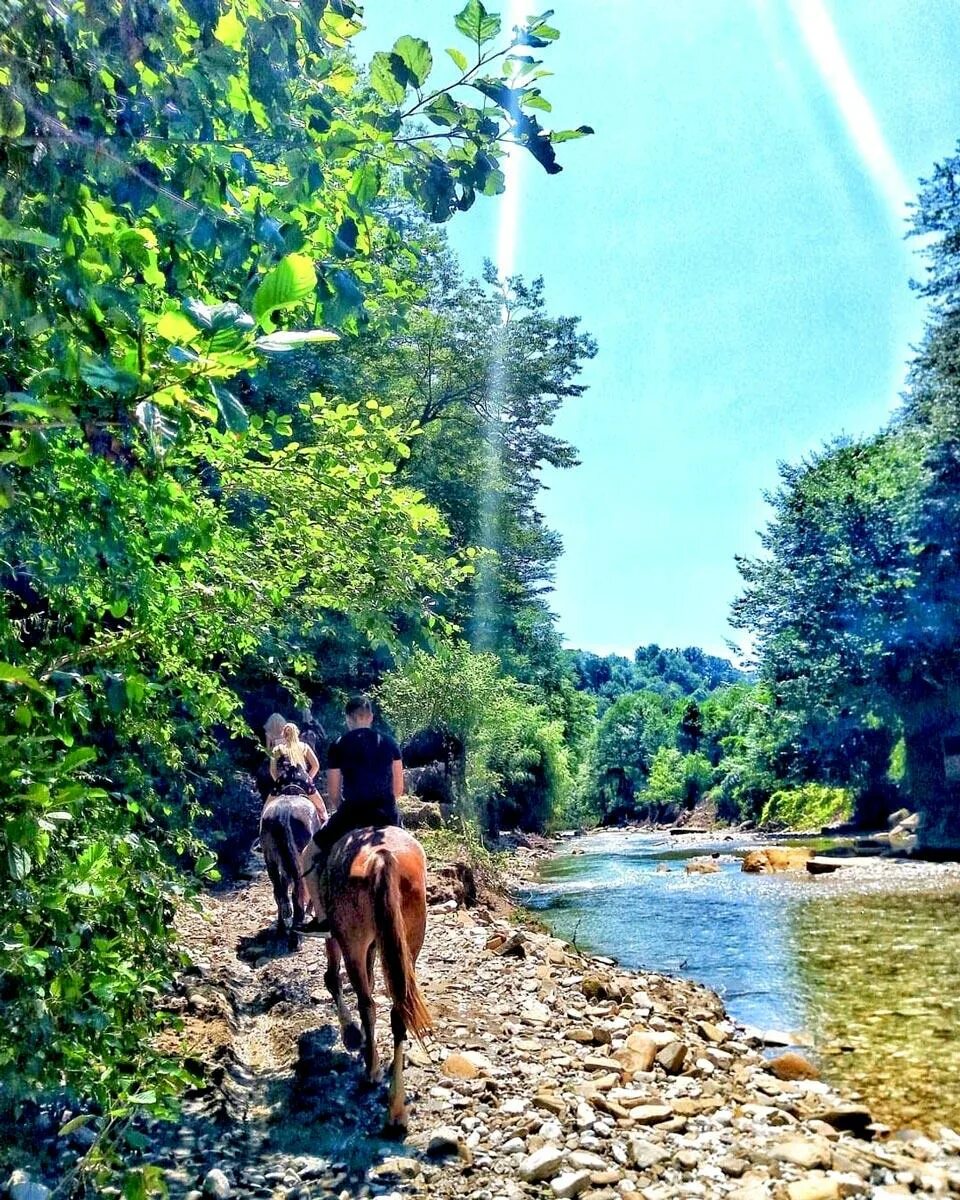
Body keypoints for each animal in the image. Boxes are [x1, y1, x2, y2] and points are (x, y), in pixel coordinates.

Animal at [319, 825, 432, 1132]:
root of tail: (380, 857)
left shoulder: (339, 937)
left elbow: (333, 978)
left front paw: (351, 1035)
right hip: (408, 940)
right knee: (398, 1009)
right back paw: (396, 1107)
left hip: (352, 942)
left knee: (365, 1003)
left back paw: (372, 1070)